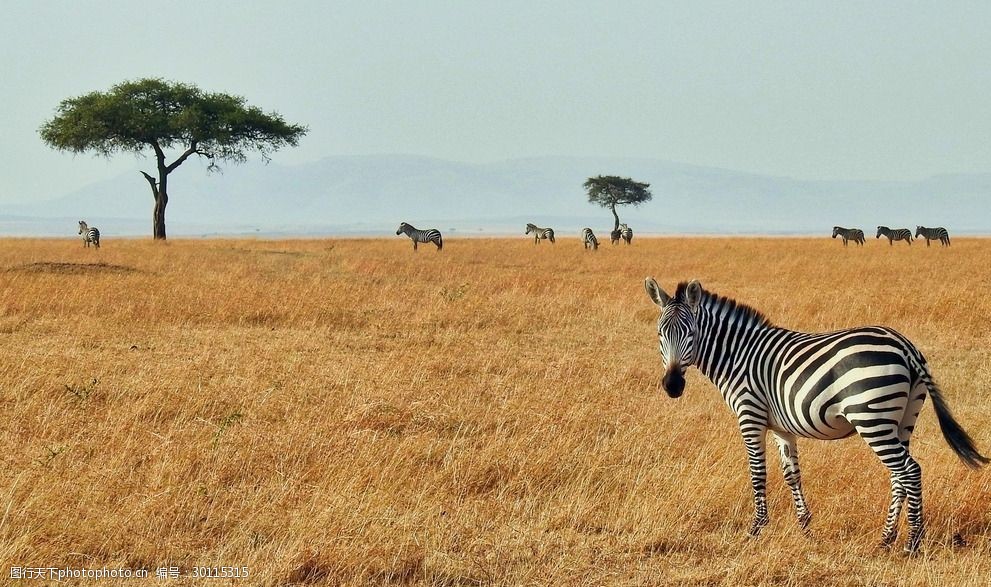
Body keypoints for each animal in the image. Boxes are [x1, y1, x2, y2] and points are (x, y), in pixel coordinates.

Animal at [644, 278, 984, 552]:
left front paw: (756, 530)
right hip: (903, 419)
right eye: (661, 333)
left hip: (872, 417)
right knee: (899, 475)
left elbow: (757, 473)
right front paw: (805, 527)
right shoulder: (781, 427)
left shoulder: (750, 415)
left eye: (691, 332)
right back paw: (886, 538)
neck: (737, 355)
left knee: (910, 470)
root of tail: (904, 345)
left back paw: (913, 543)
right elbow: (792, 474)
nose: (672, 386)